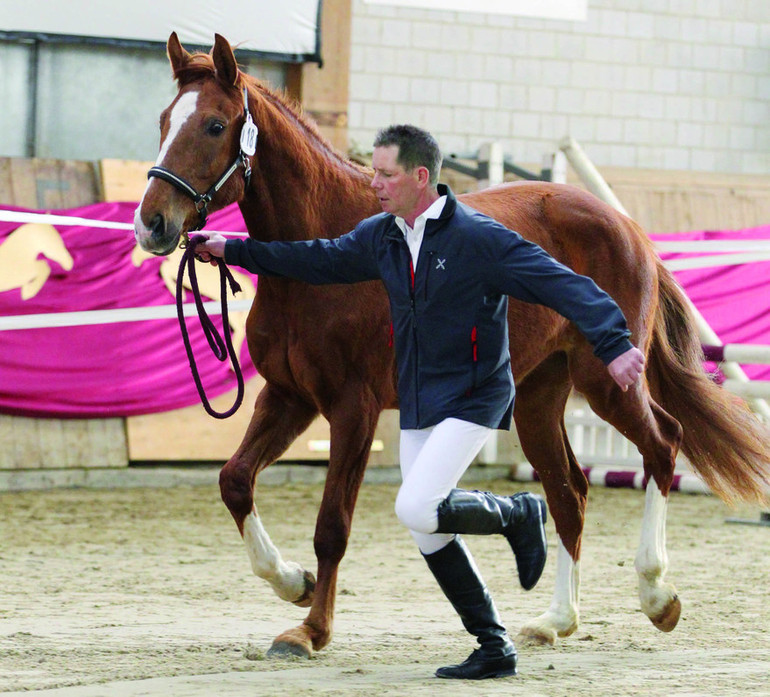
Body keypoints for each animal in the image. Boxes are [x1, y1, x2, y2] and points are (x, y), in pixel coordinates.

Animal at [134, 31, 768, 652]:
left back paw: (657, 595)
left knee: (663, 444)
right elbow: (235, 481)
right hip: (539, 396)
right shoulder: (290, 397)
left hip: (606, 382)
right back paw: (556, 620)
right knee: (569, 492)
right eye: (164, 121)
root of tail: (629, 228)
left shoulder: (353, 408)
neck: (316, 258)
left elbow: (332, 525)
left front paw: (311, 630)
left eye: (215, 125)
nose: (152, 224)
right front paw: (294, 583)